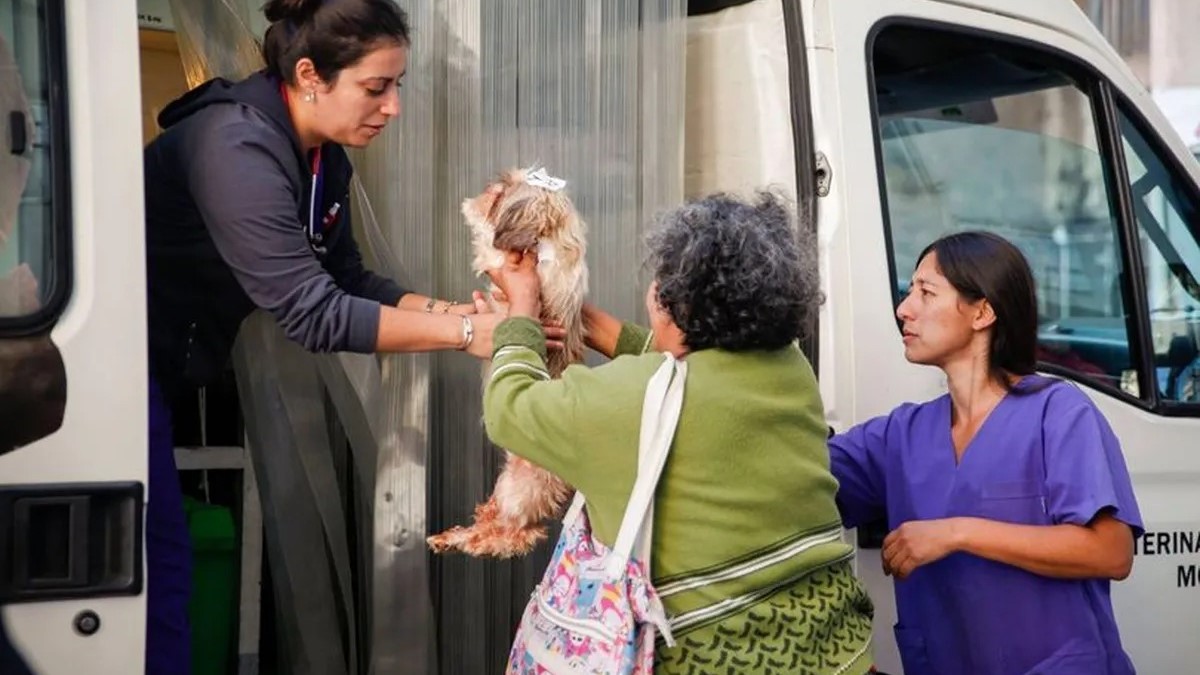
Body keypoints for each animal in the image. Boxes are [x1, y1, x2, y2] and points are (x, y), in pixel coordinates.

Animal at [427, 165, 585, 554]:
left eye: (501, 191)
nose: (490, 184)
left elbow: (488, 246)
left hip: (520, 489)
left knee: (515, 535)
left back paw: (470, 542)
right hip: (505, 486)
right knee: (496, 520)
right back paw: (451, 535)